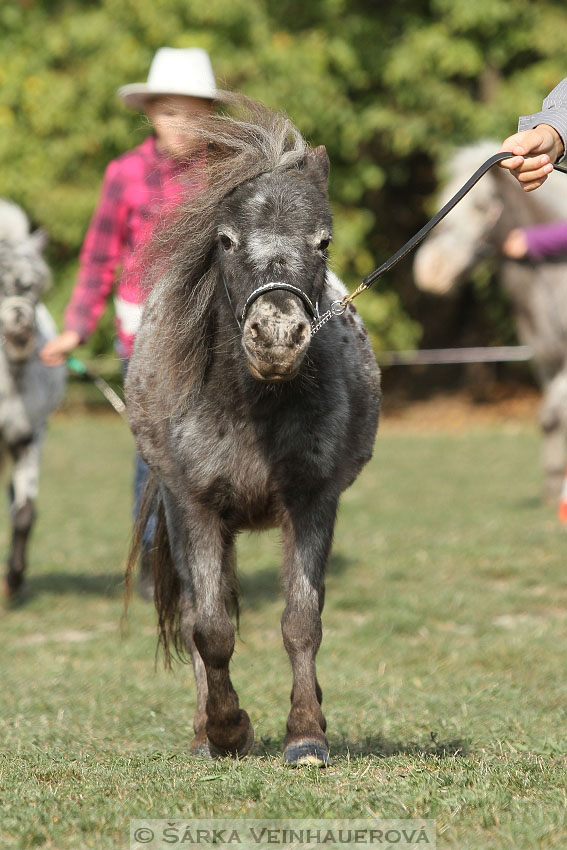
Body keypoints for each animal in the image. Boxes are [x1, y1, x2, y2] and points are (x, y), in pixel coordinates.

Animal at [125, 96, 382, 764]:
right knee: (198, 613)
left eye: (323, 242)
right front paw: (227, 729)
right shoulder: (195, 507)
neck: (251, 409)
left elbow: (301, 622)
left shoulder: (313, 500)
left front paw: (307, 734)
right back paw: (202, 733)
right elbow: (211, 628)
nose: (276, 336)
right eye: (224, 240)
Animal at [412, 138, 567, 496]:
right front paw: (555, 484)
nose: (431, 271)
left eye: (483, 206)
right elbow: (550, 418)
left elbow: (555, 413)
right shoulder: (545, 359)